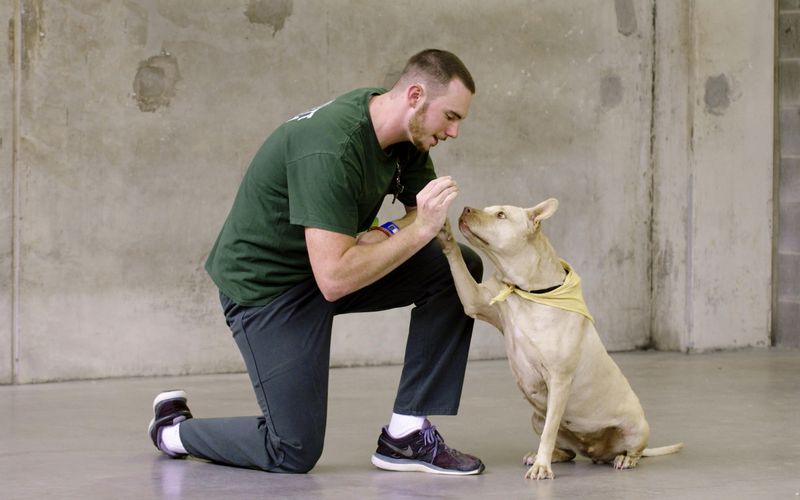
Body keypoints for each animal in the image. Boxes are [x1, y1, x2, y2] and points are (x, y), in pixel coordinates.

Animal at [438, 197, 680, 478]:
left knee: (633, 450)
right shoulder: (476, 301)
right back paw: (548, 456)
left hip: (637, 426)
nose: (466, 209)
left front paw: (542, 468)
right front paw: (442, 228)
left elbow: (549, 432)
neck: (529, 290)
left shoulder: (559, 380)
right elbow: (458, 264)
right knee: (567, 450)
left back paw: (624, 459)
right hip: (537, 418)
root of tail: (598, 452)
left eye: (500, 215)